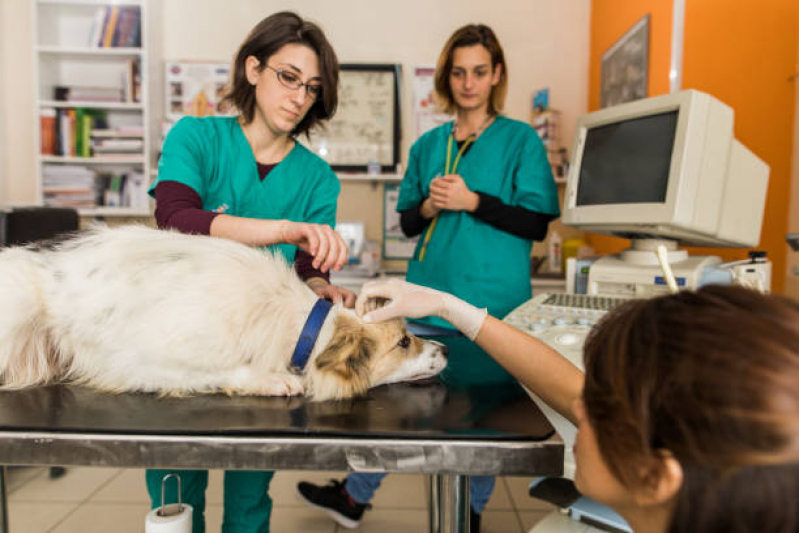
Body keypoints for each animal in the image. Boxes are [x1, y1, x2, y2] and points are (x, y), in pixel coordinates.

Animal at [0, 224, 450, 400]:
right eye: (403, 342)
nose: (446, 350)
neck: (301, 328)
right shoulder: (145, 364)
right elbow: (225, 371)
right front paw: (271, 380)